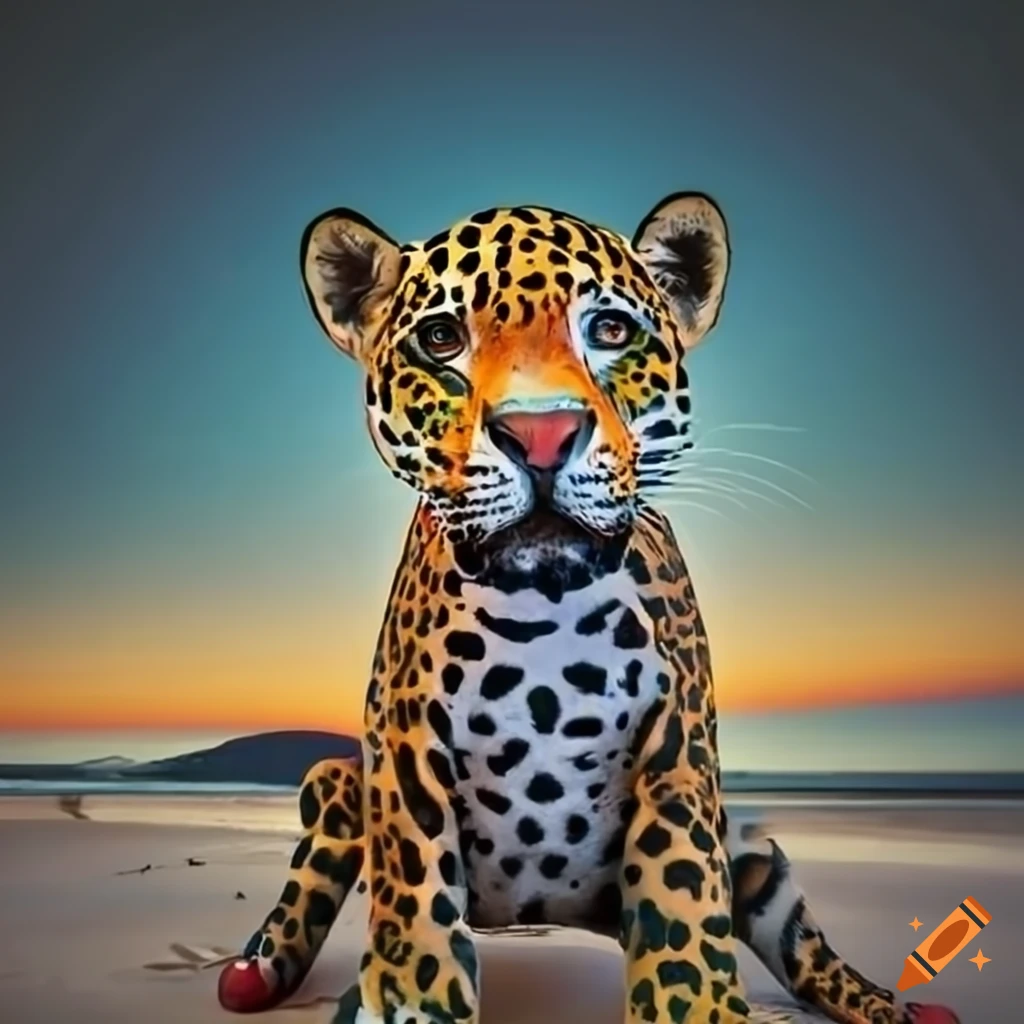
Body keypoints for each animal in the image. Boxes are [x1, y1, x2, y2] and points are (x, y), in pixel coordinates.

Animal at [216, 194, 961, 1024]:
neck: (545, 605)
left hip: (752, 856)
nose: (540, 434)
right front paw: (410, 997)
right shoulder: (405, 746)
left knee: (794, 931)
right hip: (337, 780)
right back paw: (258, 968)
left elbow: (683, 899)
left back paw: (891, 1007)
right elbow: (416, 894)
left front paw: (697, 1003)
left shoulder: (678, 751)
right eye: (441, 339)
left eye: (608, 331)